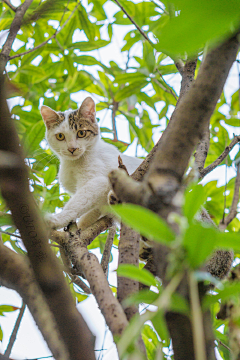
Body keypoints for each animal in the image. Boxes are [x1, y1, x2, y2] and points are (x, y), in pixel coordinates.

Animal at [40, 97, 142, 229]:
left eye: (81, 133)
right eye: (60, 136)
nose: (72, 149)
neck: (73, 164)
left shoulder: (100, 181)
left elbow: (77, 203)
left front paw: (57, 219)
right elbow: (93, 211)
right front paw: (82, 224)